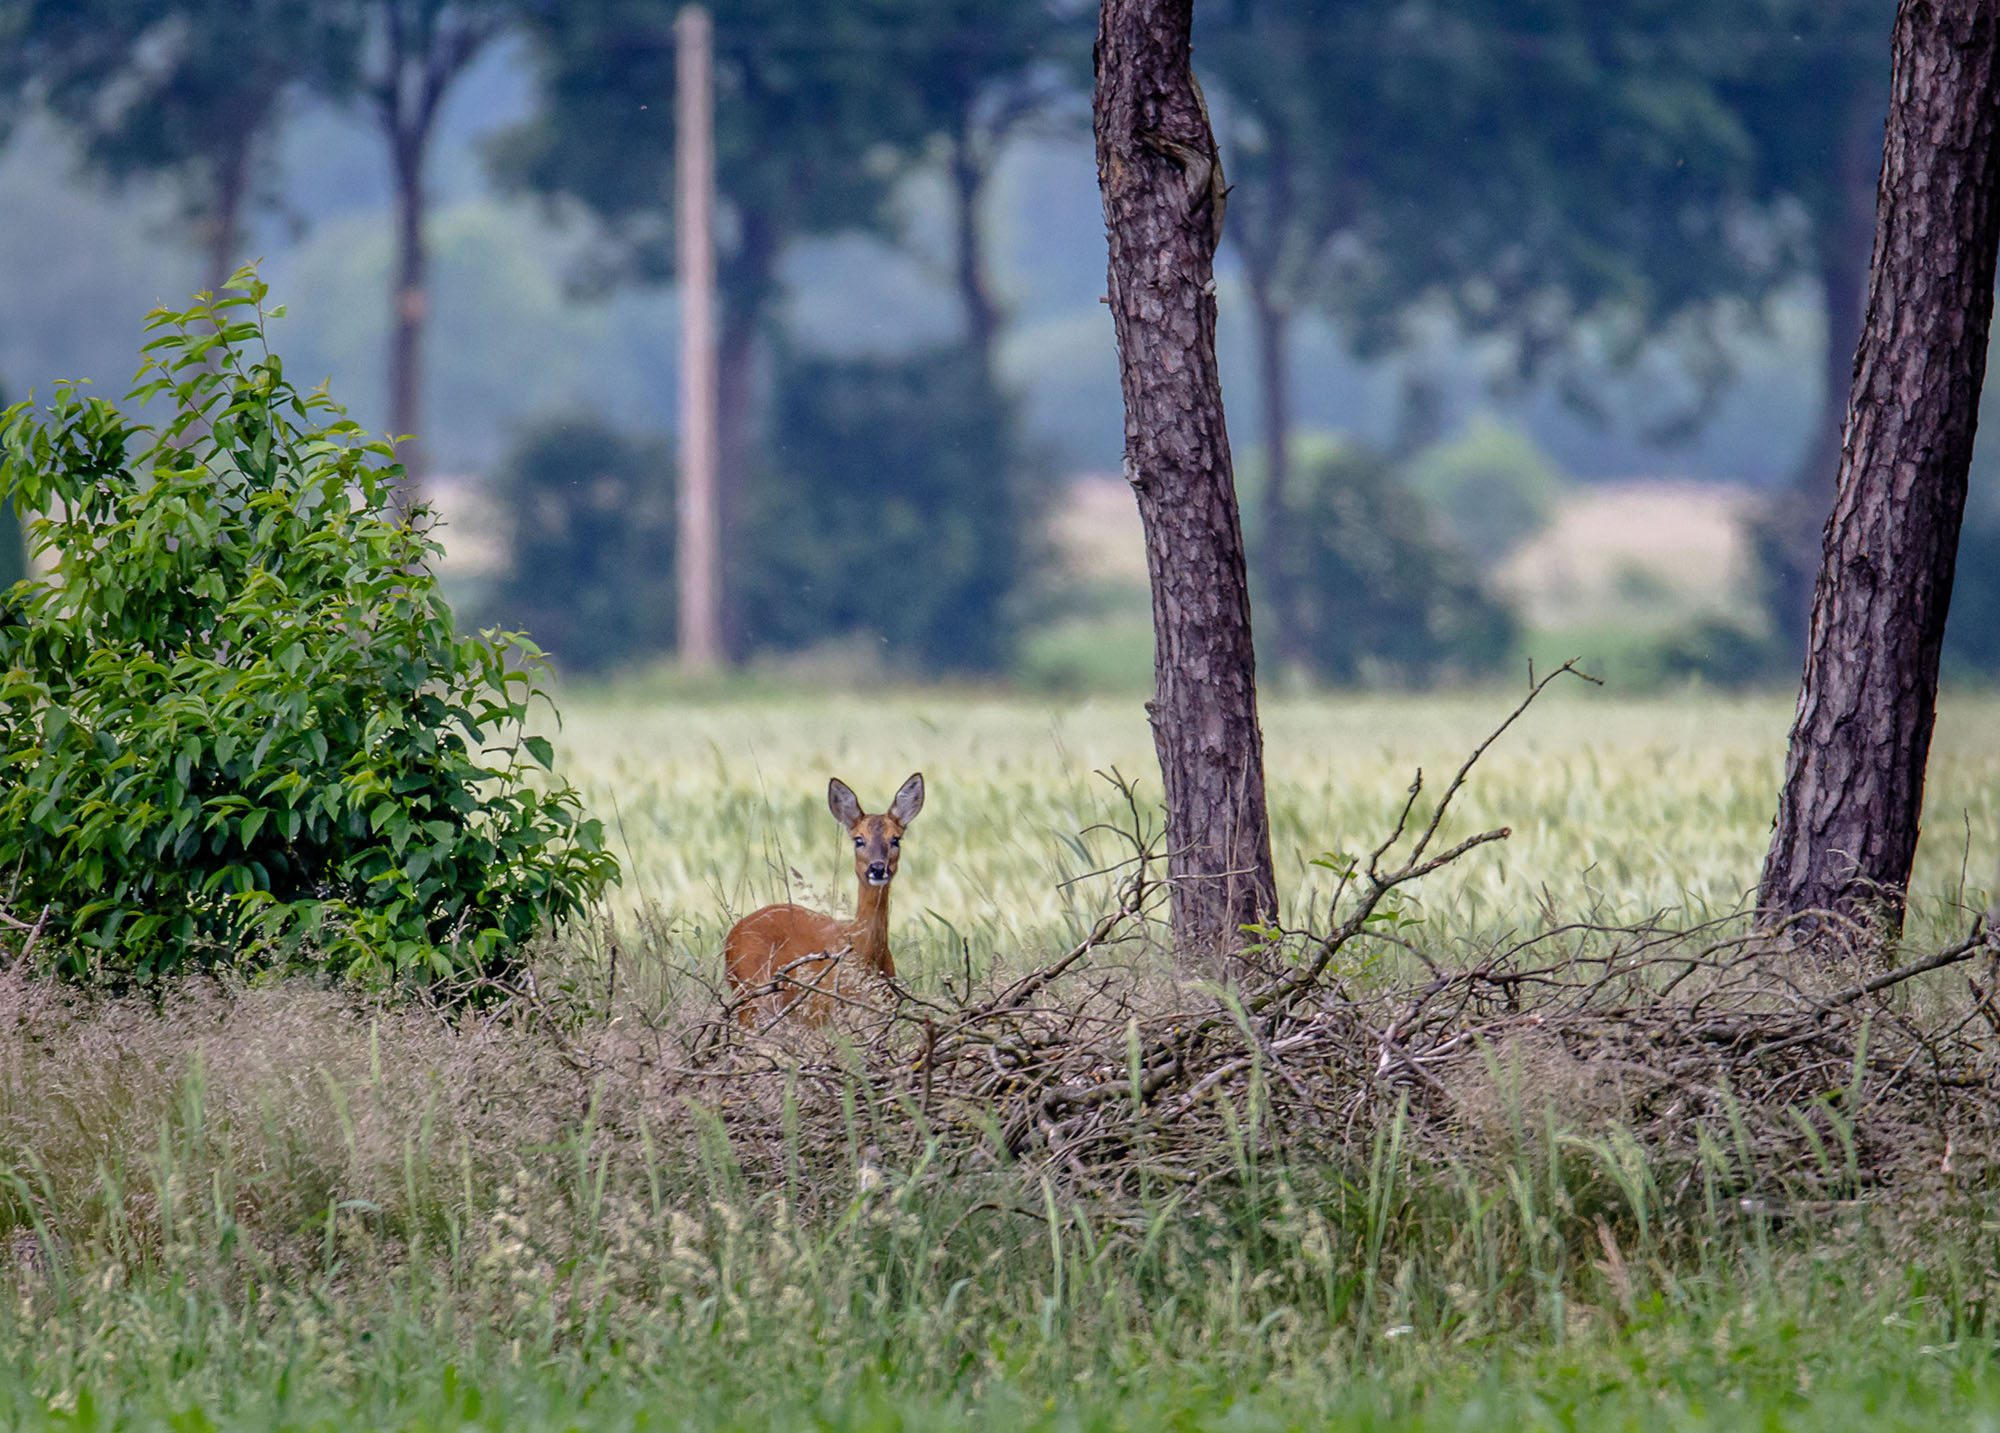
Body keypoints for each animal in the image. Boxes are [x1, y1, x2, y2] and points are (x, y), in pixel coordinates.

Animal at [724, 776, 924, 1024]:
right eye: (859, 840)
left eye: (895, 839)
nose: (877, 869)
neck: (866, 954)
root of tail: (731, 936)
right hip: (750, 994)